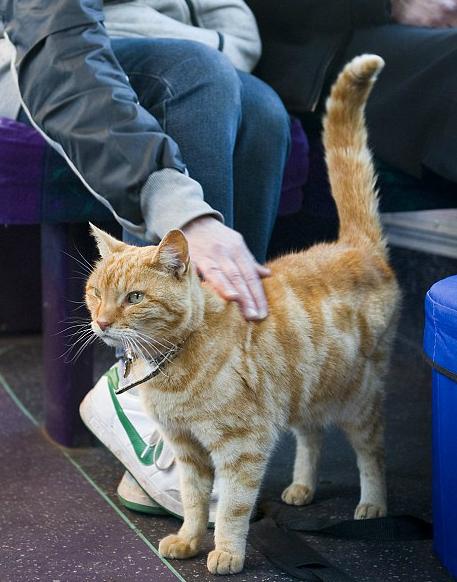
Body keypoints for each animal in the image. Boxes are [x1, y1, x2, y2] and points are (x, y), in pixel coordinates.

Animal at [85, 54, 400, 576]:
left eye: (133, 298)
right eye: (94, 293)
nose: (103, 323)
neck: (172, 364)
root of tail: (354, 245)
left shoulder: (241, 446)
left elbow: (232, 505)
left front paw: (228, 552)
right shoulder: (188, 449)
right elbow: (194, 500)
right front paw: (189, 539)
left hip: (359, 396)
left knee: (371, 451)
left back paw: (373, 503)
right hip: (304, 392)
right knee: (311, 437)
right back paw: (302, 487)